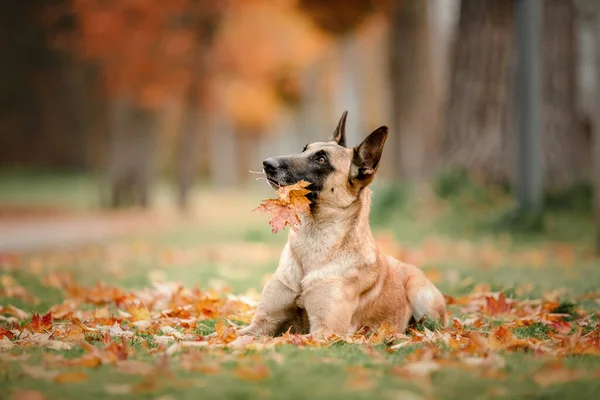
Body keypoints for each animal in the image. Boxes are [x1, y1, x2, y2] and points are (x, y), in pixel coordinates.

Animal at [239, 112, 446, 338]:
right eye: (304, 149)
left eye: (321, 159)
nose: (267, 163)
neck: (314, 238)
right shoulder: (261, 323)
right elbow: (234, 337)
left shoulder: (324, 331)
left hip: (420, 294)